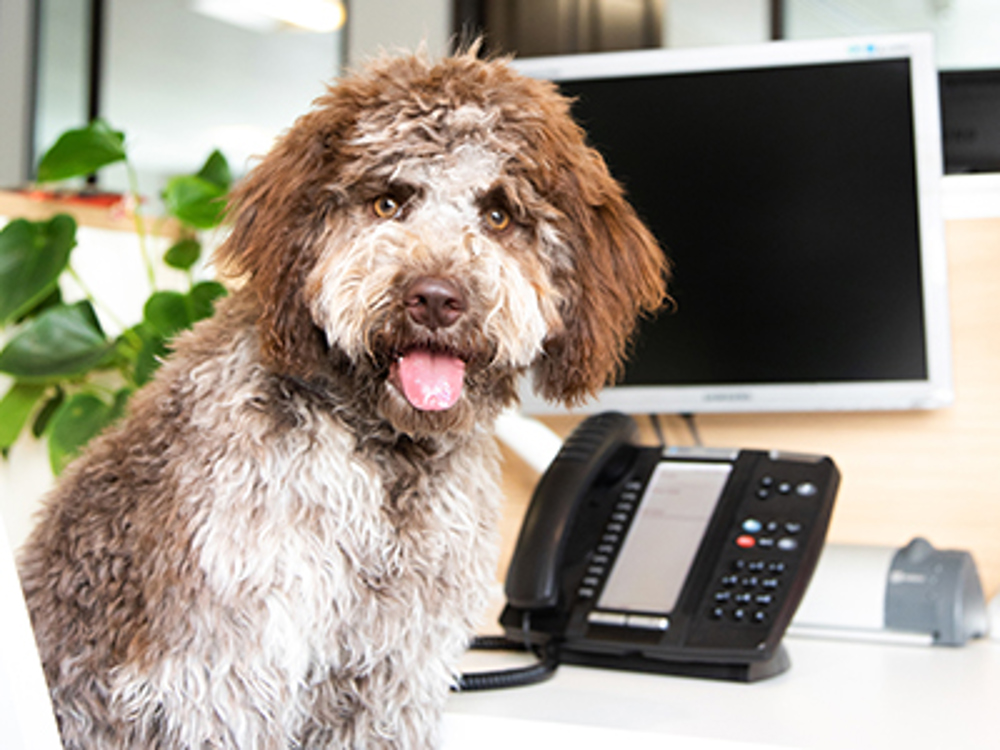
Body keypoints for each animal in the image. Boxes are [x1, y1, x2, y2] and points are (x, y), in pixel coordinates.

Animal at [15, 48, 668, 750]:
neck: (384, 456)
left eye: (498, 214)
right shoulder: (225, 674)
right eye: (388, 200)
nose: (434, 298)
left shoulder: (392, 677)